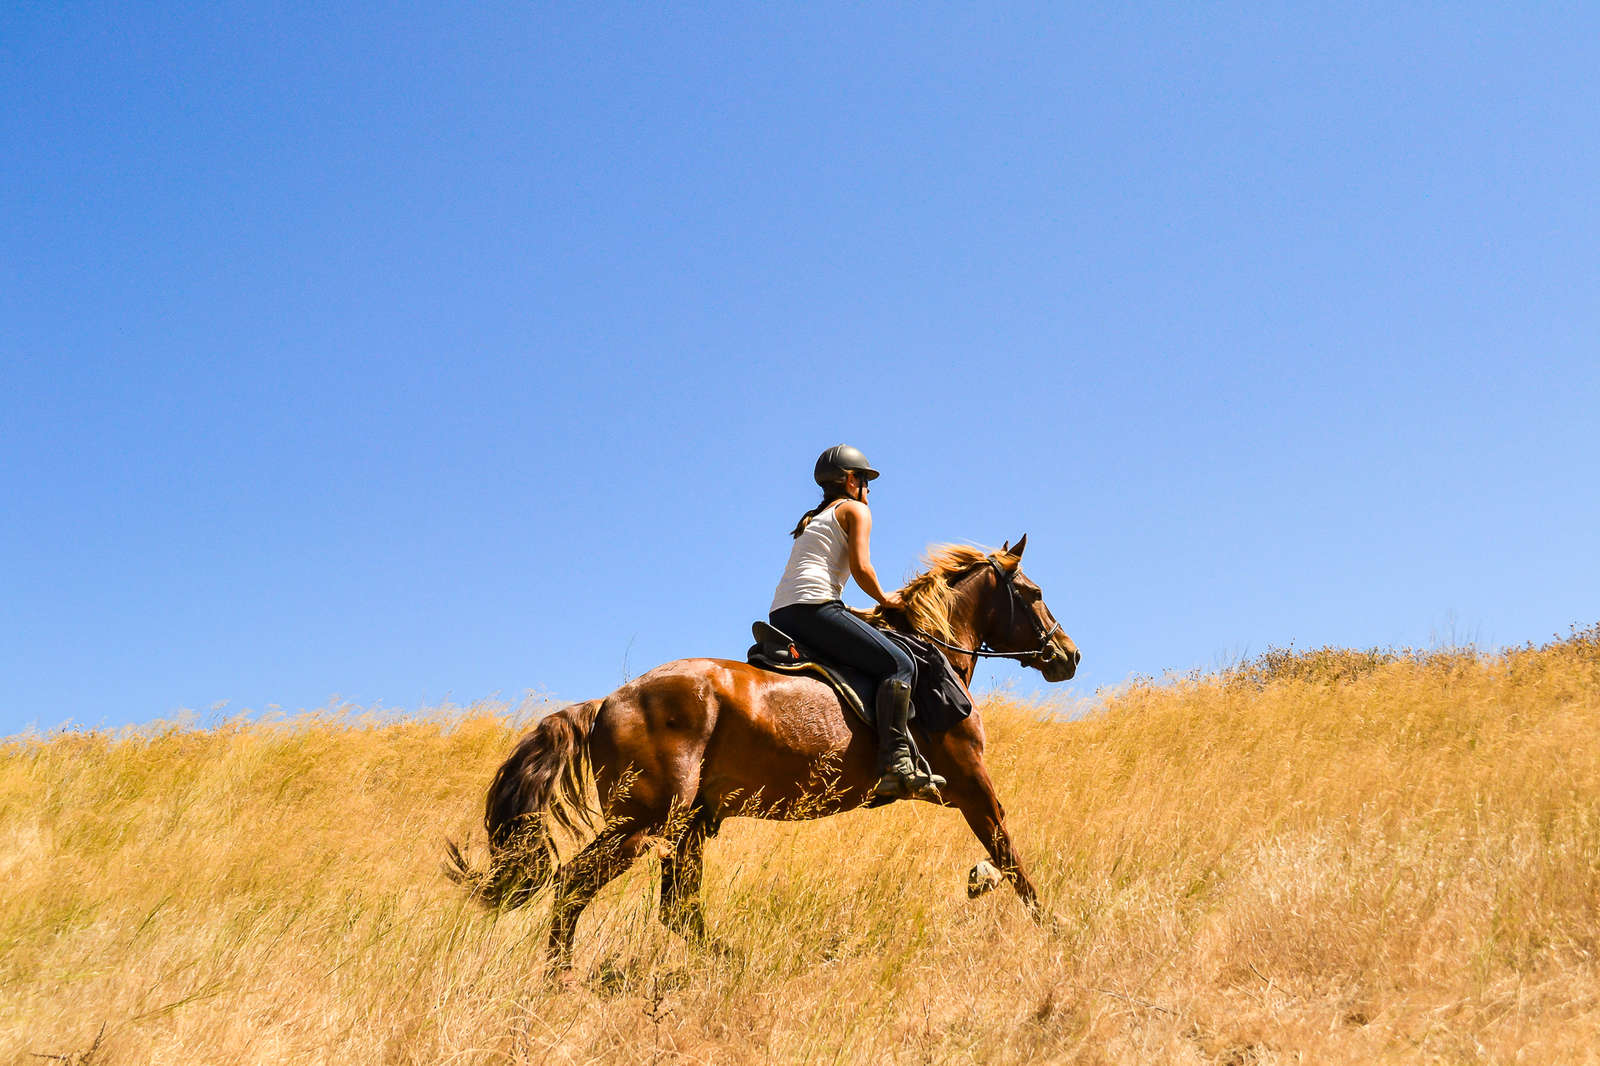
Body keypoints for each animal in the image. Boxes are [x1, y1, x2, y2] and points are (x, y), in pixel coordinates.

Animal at [444, 531, 1081, 960]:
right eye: (1035, 592)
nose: (1068, 656)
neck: (931, 652)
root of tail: (606, 703)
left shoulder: (954, 789)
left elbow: (1000, 855)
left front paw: (986, 885)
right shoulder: (969, 782)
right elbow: (1009, 855)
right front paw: (1053, 926)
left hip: (687, 823)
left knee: (677, 909)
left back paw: (726, 964)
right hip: (644, 819)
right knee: (575, 887)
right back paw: (559, 979)